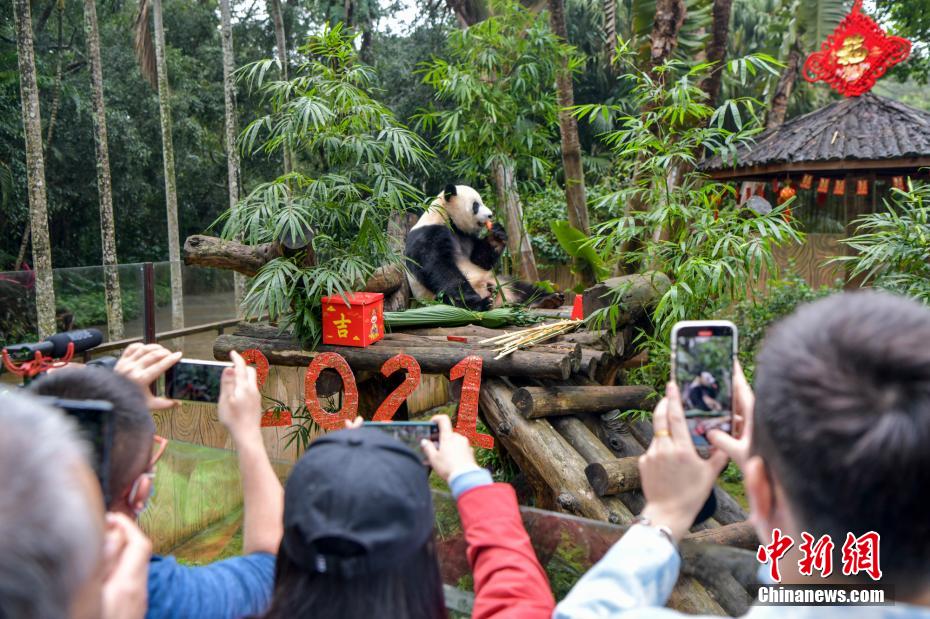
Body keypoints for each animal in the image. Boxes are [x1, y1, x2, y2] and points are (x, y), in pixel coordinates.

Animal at [404, 184, 562, 311]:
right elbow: (439, 268)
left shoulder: (466, 236)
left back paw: (548, 299)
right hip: (434, 299)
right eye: (476, 205)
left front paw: (497, 236)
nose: (490, 215)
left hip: (501, 282)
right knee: (449, 297)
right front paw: (477, 303)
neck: (446, 217)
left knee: (522, 289)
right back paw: (482, 303)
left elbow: (480, 260)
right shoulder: (428, 235)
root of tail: (501, 301)